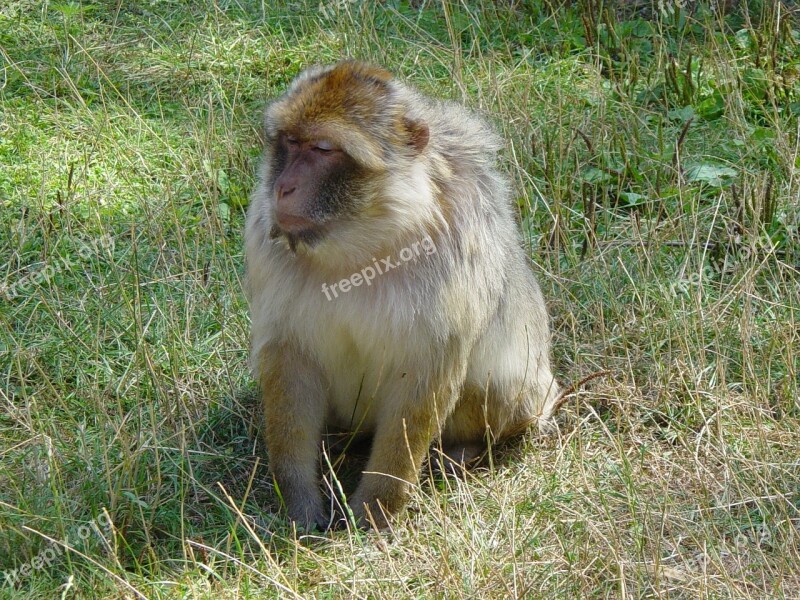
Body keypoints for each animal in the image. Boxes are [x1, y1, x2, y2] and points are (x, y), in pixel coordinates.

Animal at [245, 59, 564, 528]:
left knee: (496, 384)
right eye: (290, 142)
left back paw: (463, 450)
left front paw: (374, 510)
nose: (282, 187)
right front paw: (299, 501)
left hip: (527, 396)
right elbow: (290, 363)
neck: (362, 243)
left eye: (323, 149)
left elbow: (422, 383)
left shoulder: (453, 252)